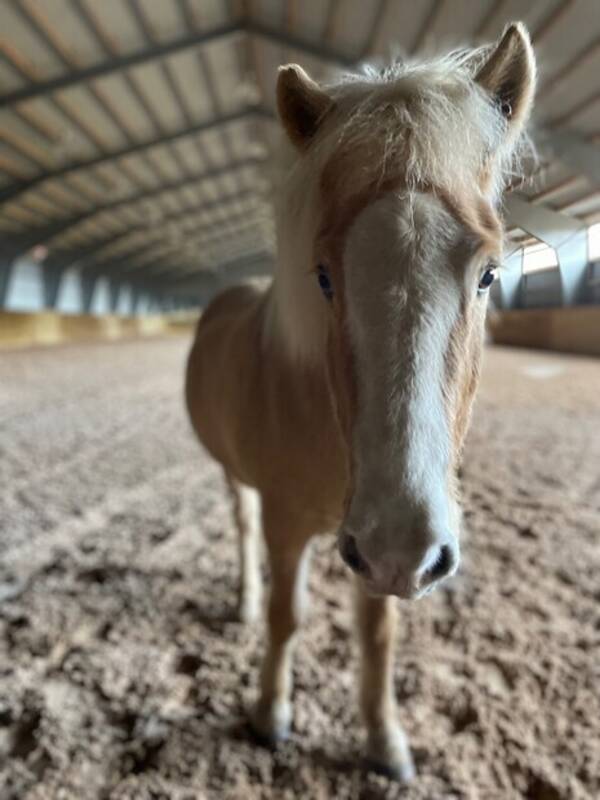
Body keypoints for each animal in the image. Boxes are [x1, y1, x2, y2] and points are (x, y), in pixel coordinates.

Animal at [185, 21, 536, 780]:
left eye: (489, 273)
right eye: (322, 275)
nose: (399, 542)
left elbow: (377, 634)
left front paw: (384, 743)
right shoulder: (289, 524)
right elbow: (287, 615)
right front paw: (270, 714)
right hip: (234, 477)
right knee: (241, 528)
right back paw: (243, 603)